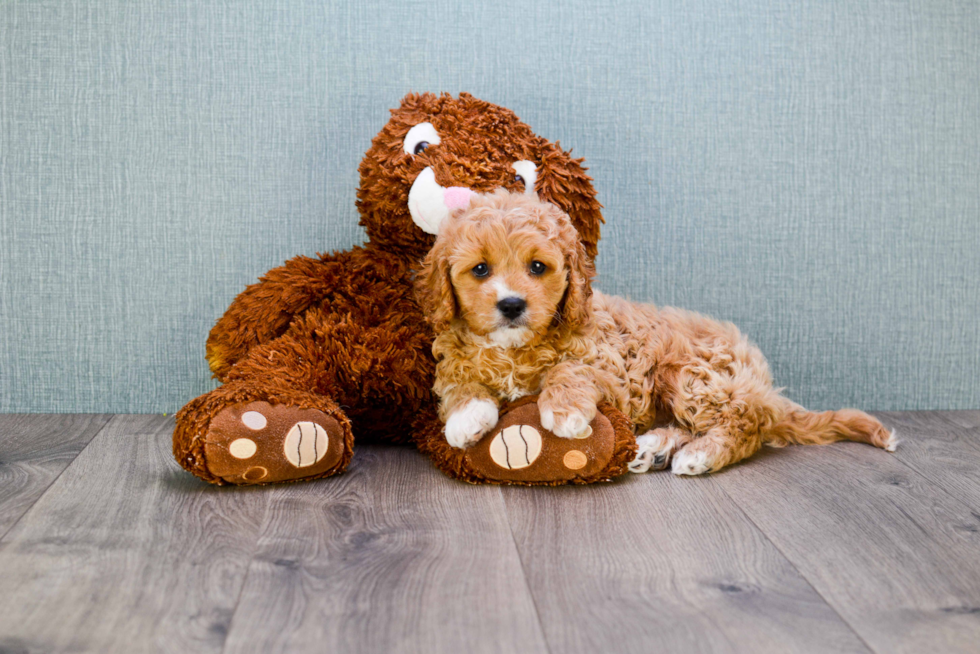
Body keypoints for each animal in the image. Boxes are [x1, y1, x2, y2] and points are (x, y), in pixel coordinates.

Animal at [414, 190, 896, 476]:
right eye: (480, 269)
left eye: (537, 267)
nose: (512, 305)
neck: (513, 349)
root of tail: (761, 383)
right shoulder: (453, 357)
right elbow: (457, 381)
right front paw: (466, 417)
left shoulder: (612, 374)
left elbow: (570, 370)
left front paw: (564, 410)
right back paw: (653, 447)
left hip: (693, 375)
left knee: (743, 424)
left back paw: (698, 455)